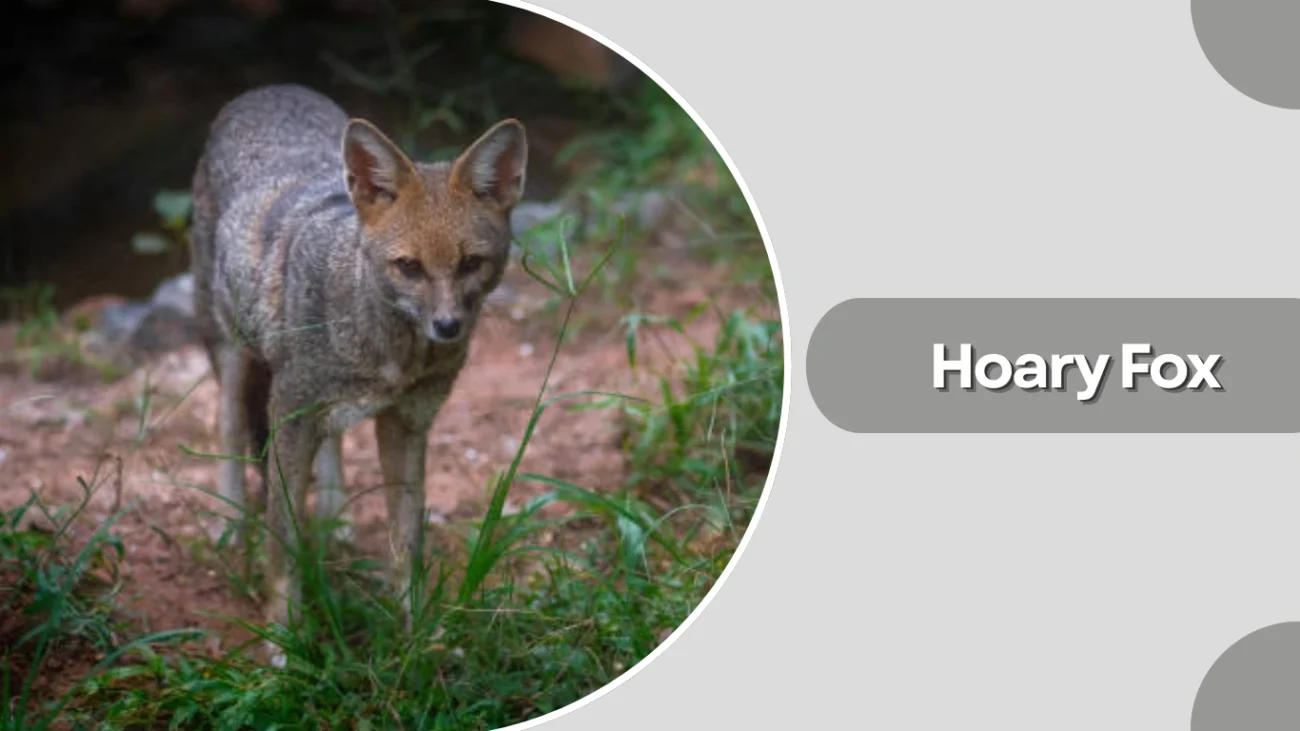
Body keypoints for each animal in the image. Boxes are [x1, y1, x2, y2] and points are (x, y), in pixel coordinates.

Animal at [188, 83, 527, 665]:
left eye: (471, 263)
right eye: (408, 266)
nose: (447, 327)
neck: (389, 356)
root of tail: (268, 89)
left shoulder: (407, 424)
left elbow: (407, 542)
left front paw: (418, 634)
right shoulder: (290, 414)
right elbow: (283, 539)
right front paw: (284, 640)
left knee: (333, 446)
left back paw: (336, 519)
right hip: (234, 357)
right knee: (227, 430)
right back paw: (231, 524)